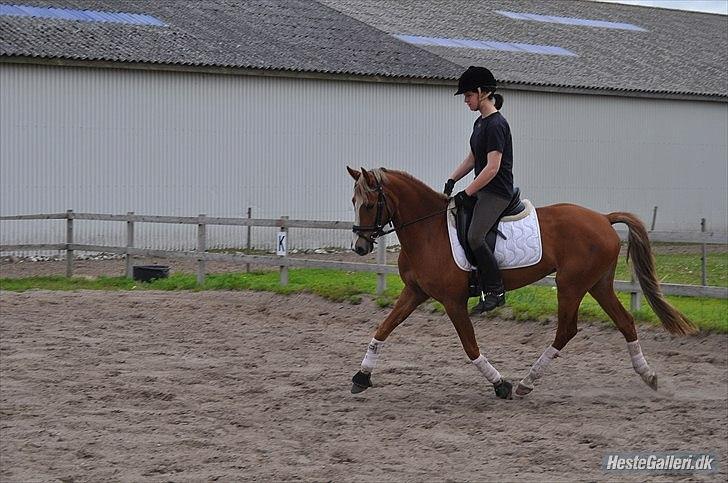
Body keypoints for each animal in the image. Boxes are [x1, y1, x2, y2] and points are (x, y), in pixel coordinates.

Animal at [346, 166, 692, 400]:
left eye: (369, 204)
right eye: (353, 201)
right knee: (625, 322)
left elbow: (470, 347)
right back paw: (648, 376)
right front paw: (361, 377)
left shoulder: (453, 301)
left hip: (571, 285)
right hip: (598, 284)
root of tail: (603, 219)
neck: (427, 230)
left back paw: (527, 382)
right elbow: (382, 329)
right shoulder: (414, 292)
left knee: (567, 330)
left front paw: (501, 384)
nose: (360, 247)